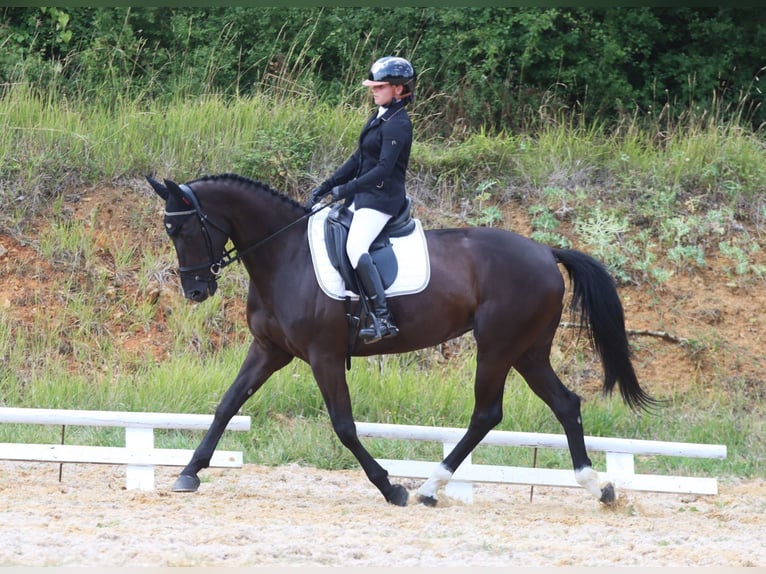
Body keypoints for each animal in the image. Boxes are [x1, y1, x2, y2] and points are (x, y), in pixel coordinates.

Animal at [147, 174, 656, 508]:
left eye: (183, 228)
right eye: (170, 231)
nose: (195, 291)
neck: (285, 254)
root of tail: (546, 252)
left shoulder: (323, 356)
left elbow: (344, 426)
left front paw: (389, 486)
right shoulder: (270, 351)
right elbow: (227, 405)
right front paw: (189, 473)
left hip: (497, 347)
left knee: (487, 413)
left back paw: (428, 487)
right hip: (527, 350)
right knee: (565, 403)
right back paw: (599, 487)